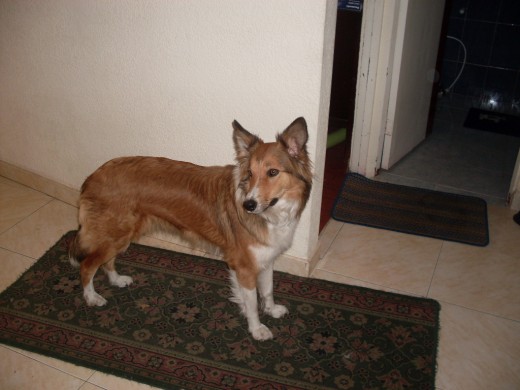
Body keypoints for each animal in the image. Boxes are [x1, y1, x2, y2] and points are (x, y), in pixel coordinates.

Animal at [69, 117, 312, 340]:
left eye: (273, 172)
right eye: (250, 174)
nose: (248, 205)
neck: (271, 213)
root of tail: (92, 176)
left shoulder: (266, 258)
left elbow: (268, 290)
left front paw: (271, 310)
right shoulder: (244, 266)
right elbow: (251, 303)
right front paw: (257, 329)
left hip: (120, 235)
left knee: (106, 262)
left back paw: (117, 280)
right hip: (114, 234)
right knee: (87, 265)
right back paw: (92, 297)